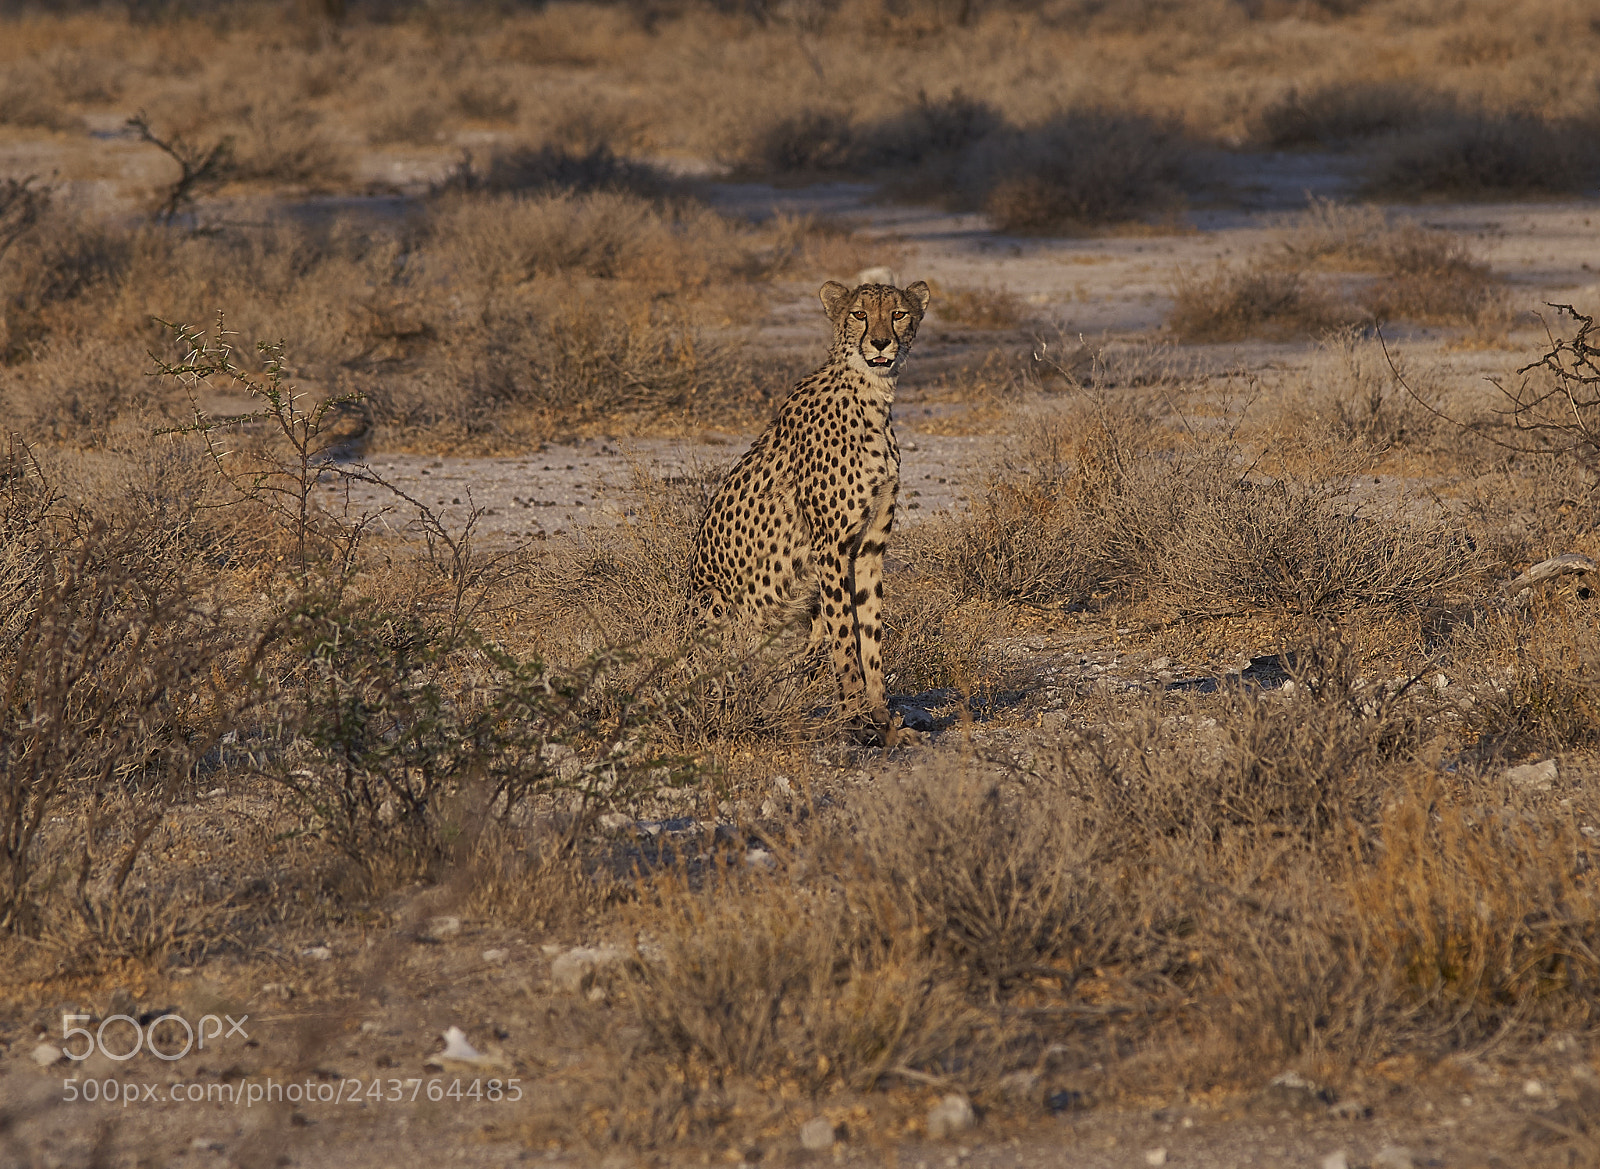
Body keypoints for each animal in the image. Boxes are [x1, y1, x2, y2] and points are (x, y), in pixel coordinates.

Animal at [689, 278, 931, 744]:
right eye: (858, 314)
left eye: (898, 313)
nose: (880, 342)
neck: (871, 395)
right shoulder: (831, 549)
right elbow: (846, 636)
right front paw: (856, 717)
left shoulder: (869, 549)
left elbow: (869, 633)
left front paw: (884, 721)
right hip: (715, 605)